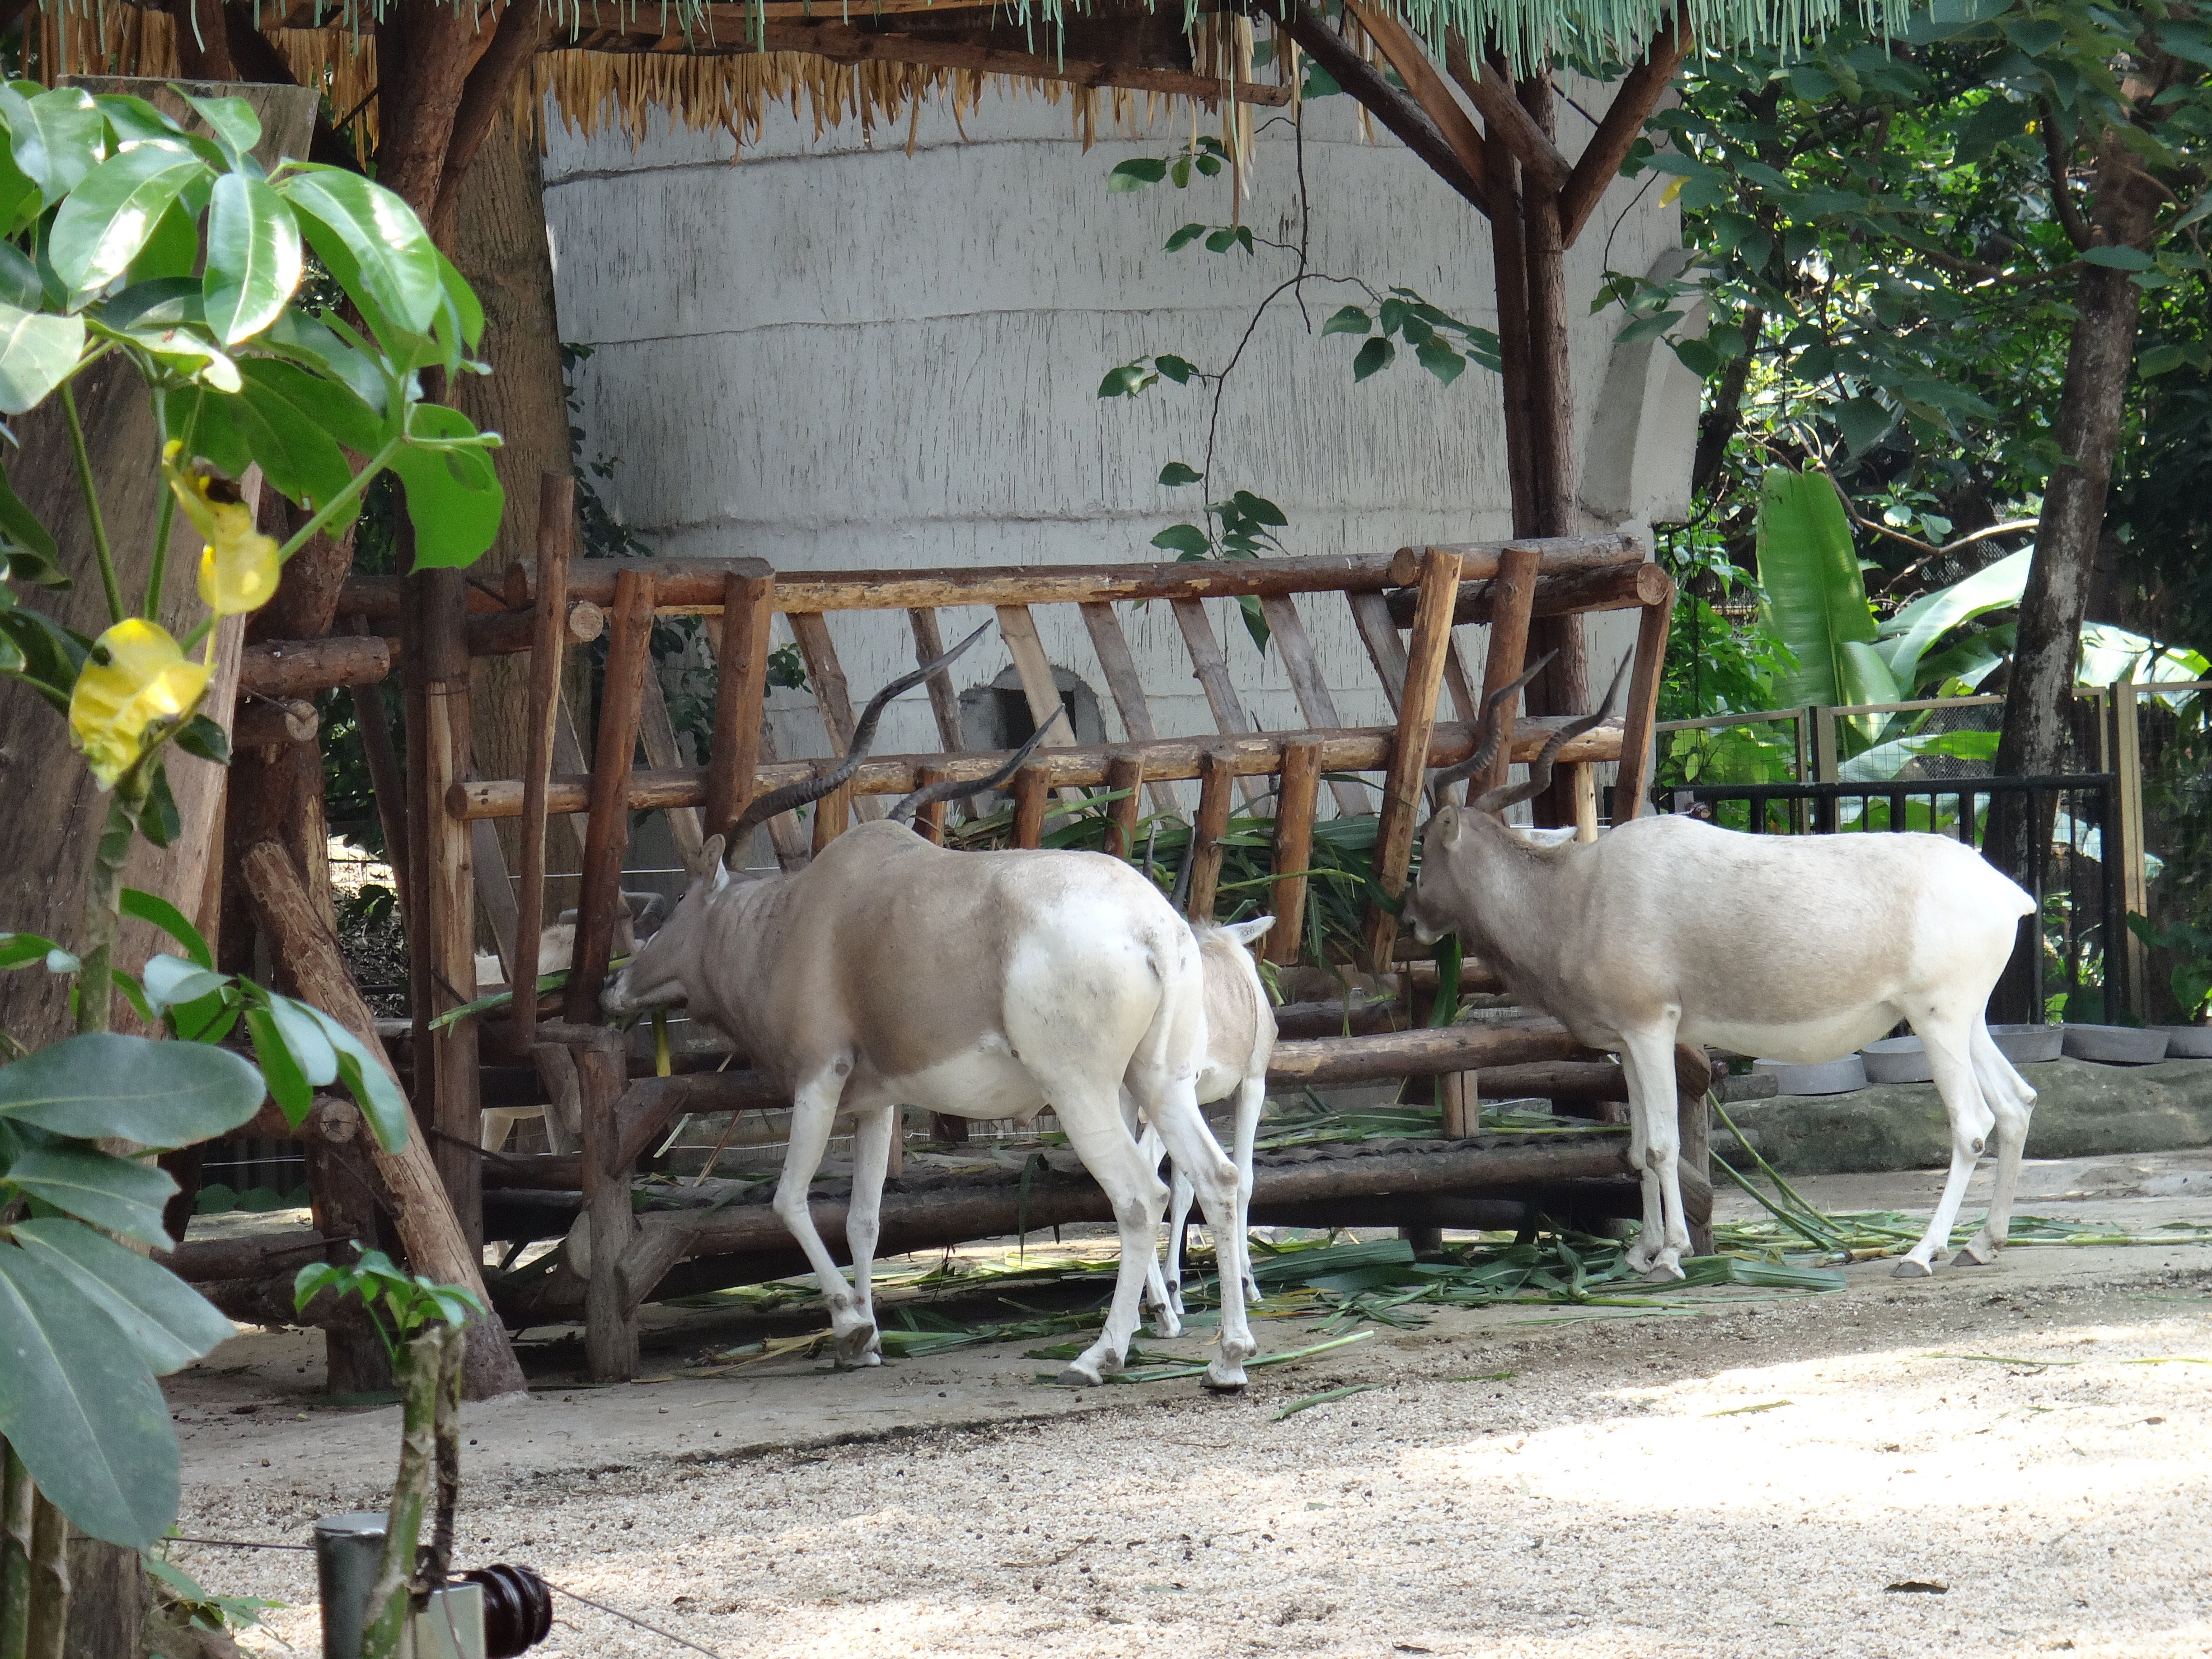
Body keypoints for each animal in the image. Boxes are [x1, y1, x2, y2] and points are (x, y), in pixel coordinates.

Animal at [606, 628, 1265, 1398]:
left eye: (681, 902)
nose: (615, 989)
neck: (795, 918)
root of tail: (1154, 930)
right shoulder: (875, 1103)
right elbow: (863, 1218)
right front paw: (865, 1343)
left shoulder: (818, 1077)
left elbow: (789, 1200)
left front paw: (849, 1325)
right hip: (1159, 1083)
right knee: (1218, 1180)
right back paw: (1227, 1361)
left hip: (1081, 1089)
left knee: (1140, 1196)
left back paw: (1100, 1356)